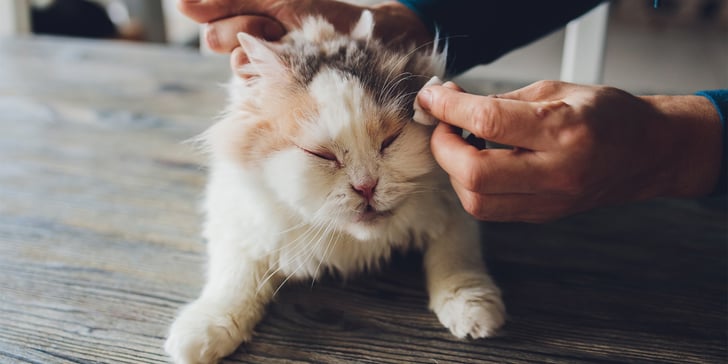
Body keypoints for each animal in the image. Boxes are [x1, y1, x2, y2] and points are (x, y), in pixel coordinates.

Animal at [165, 9, 506, 362]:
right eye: (322, 155)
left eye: (390, 141)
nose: (366, 186)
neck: (354, 245)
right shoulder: (236, 219)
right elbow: (233, 280)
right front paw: (202, 334)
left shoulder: (454, 205)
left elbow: (456, 259)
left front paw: (473, 310)